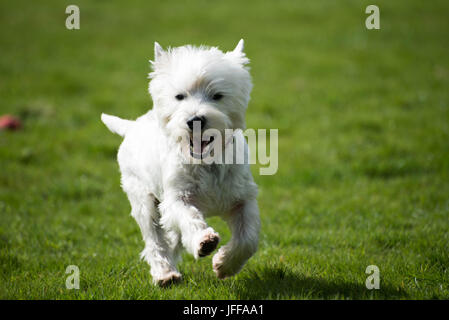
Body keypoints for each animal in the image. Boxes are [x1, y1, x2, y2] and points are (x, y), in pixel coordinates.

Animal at [99, 40, 258, 288]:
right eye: (179, 96)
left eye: (217, 95)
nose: (195, 120)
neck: (206, 162)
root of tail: (132, 126)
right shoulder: (176, 198)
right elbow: (188, 218)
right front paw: (205, 241)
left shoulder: (242, 198)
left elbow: (248, 239)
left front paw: (224, 265)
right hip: (143, 200)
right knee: (155, 239)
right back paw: (165, 274)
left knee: (172, 238)